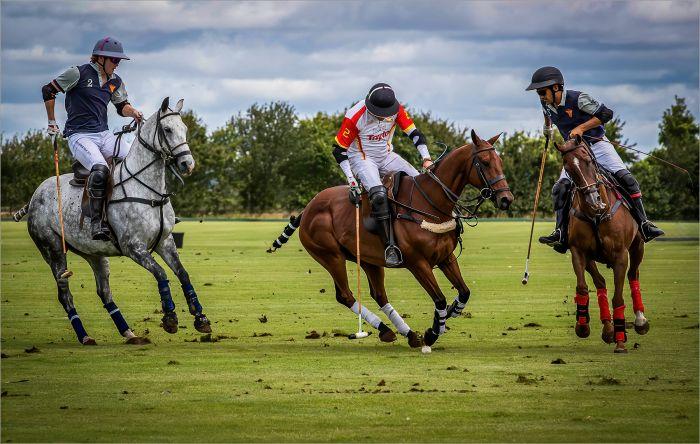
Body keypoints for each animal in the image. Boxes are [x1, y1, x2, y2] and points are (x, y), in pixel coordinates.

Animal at [14, 97, 211, 345]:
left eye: (184, 128)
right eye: (167, 129)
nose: (187, 164)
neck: (149, 190)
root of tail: (33, 198)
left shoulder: (165, 241)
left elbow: (182, 273)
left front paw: (201, 318)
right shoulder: (133, 247)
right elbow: (161, 273)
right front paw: (170, 318)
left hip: (94, 254)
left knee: (104, 292)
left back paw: (129, 333)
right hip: (53, 249)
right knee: (64, 293)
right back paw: (85, 336)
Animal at [270, 130, 513, 349]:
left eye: (500, 161)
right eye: (484, 162)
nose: (506, 199)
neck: (431, 204)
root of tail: (307, 208)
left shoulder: (446, 257)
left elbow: (464, 292)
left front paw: (451, 313)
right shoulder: (418, 263)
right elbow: (439, 299)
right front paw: (432, 333)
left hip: (369, 260)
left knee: (379, 294)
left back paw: (406, 334)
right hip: (331, 256)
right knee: (346, 295)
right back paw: (388, 331)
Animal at [555, 136, 650, 354]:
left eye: (589, 161)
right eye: (567, 167)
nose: (594, 201)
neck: (596, 215)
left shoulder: (621, 256)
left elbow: (618, 298)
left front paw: (621, 341)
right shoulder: (579, 252)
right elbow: (583, 287)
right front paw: (583, 326)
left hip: (638, 246)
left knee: (633, 275)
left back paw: (640, 321)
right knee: (601, 283)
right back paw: (608, 329)